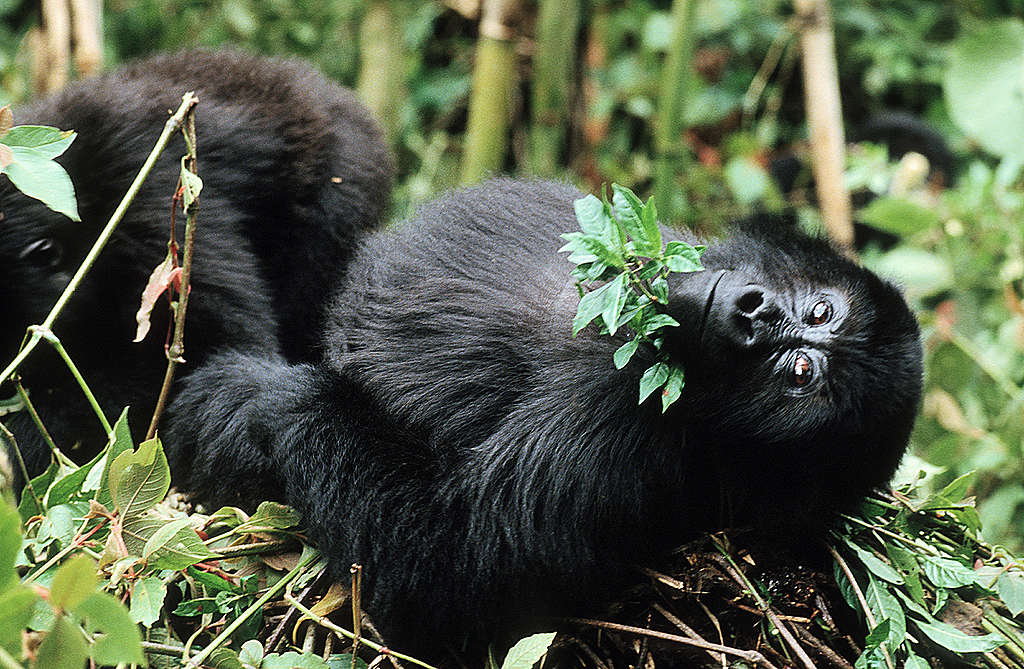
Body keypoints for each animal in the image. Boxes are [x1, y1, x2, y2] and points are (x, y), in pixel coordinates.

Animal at [165, 176, 921, 655]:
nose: (754, 314)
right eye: (820, 310)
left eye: (800, 376)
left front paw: (260, 395)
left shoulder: (624, 447)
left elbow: (451, 576)